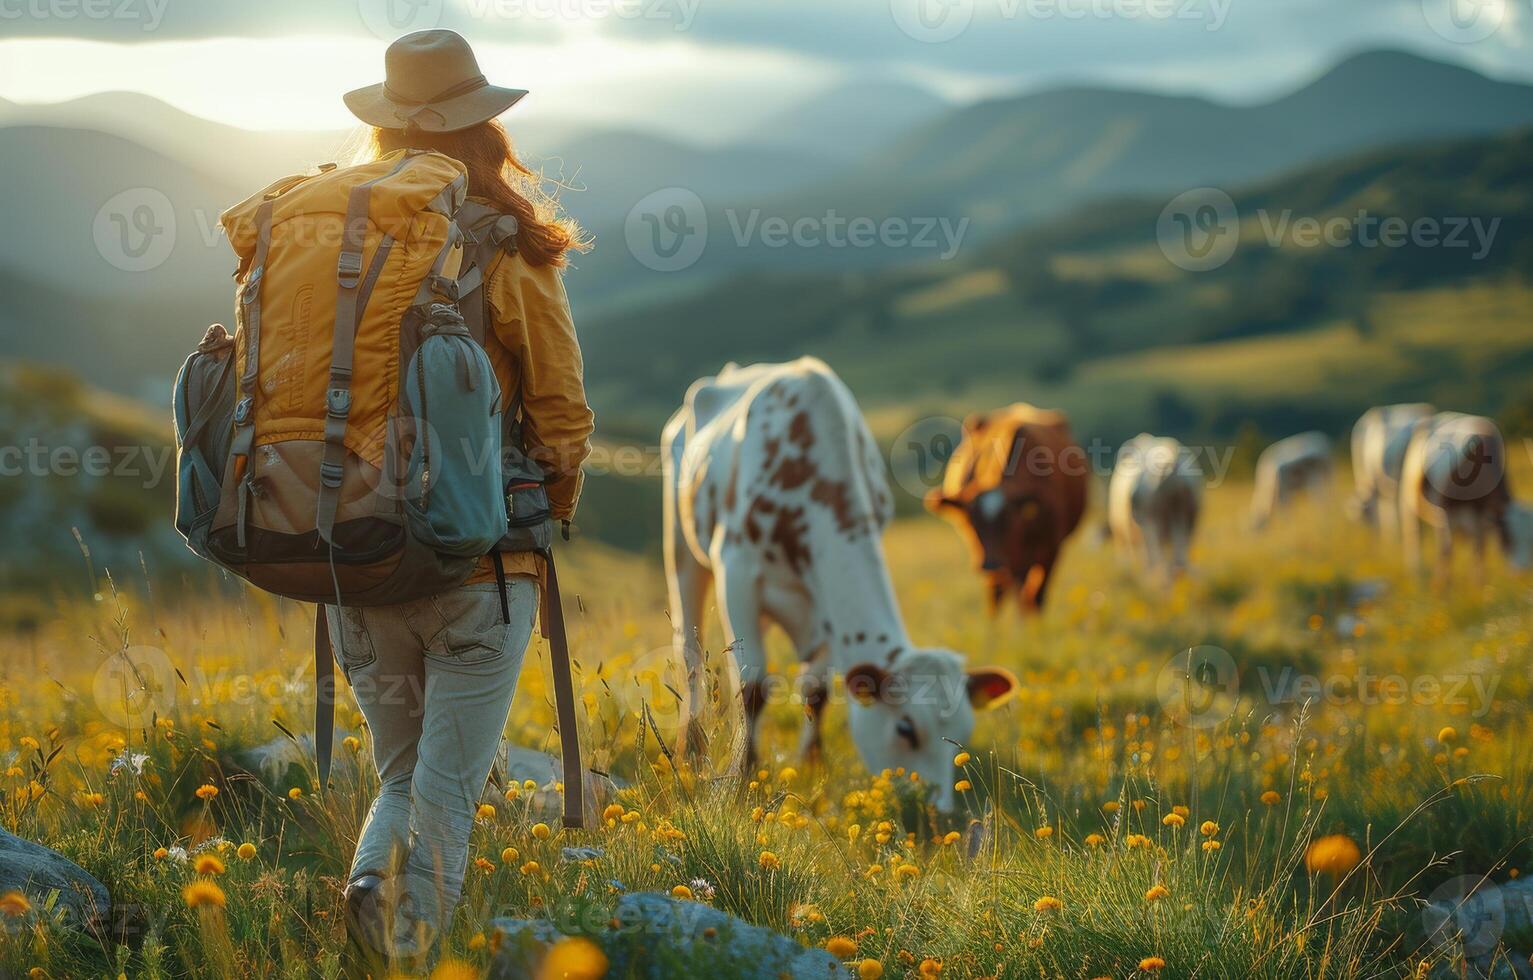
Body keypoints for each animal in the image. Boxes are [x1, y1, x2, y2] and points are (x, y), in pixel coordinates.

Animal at [662, 355, 1011, 809]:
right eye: (905, 728)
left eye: (962, 735)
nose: (937, 813)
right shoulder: (736, 571)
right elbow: (753, 683)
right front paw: (742, 777)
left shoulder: (825, 604)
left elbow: (817, 688)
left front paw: (812, 764)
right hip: (682, 547)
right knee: (689, 650)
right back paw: (691, 746)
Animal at [919, 404, 1091, 613]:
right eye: (972, 521)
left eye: (1008, 521)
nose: (991, 564)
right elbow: (1001, 595)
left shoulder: (1051, 549)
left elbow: (1036, 597)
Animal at [1404, 411, 1533, 585]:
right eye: (1508, 537)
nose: (1522, 573)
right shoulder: (1446, 512)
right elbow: (1447, 550)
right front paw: (1442, 586)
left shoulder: (1481, 516)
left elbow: (1479, 549)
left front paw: (1480, 583)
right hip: (1411, 502)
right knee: (1415, 535)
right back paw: (1418, 572)